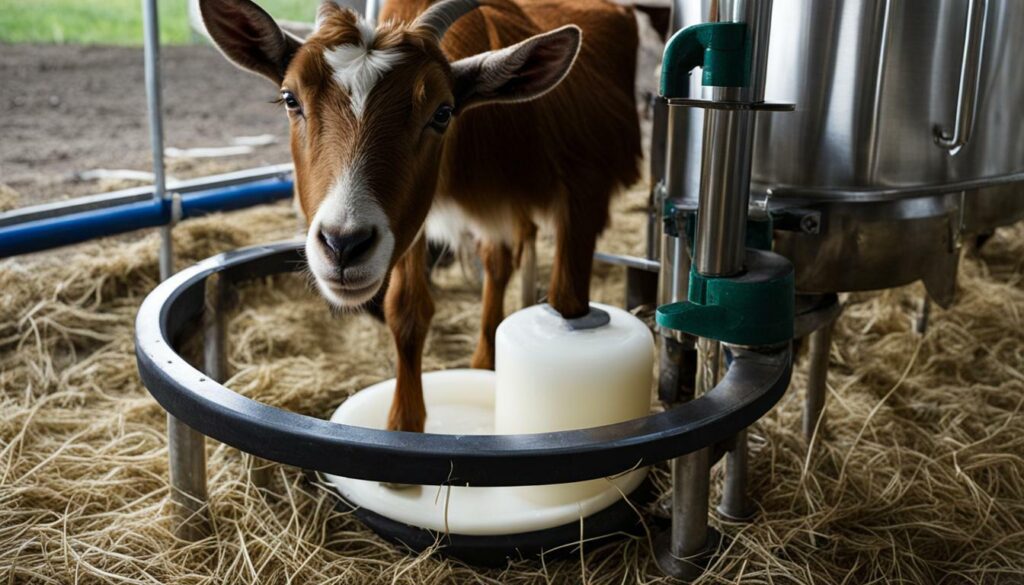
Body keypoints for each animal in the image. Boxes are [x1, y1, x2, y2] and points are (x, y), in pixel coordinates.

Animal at [200, 0, 641, 432]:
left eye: (442, 112)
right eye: (291, 99)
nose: (343, 245)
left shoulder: (583, 191)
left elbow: (568, 300)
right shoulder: (410, 222)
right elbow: (407, 310)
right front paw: (404, 424)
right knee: (497, 262)